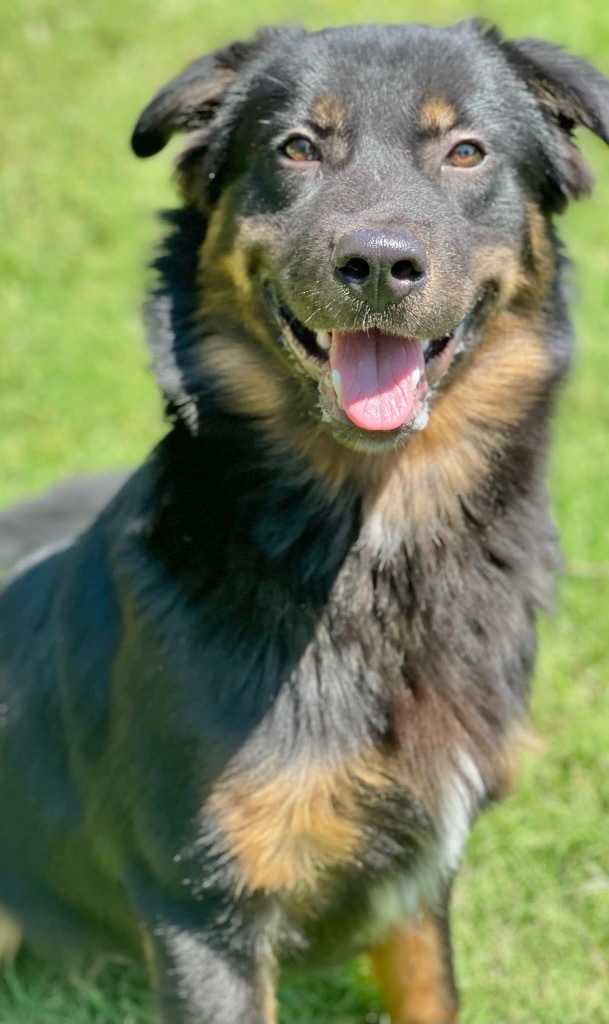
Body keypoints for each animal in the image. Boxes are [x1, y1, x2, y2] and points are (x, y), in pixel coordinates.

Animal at [1, 18, 609, 1024]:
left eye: (466, 150)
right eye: (295, 148)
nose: (378, 265)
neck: (370, 543)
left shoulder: (421, 879)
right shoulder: (201, 905)